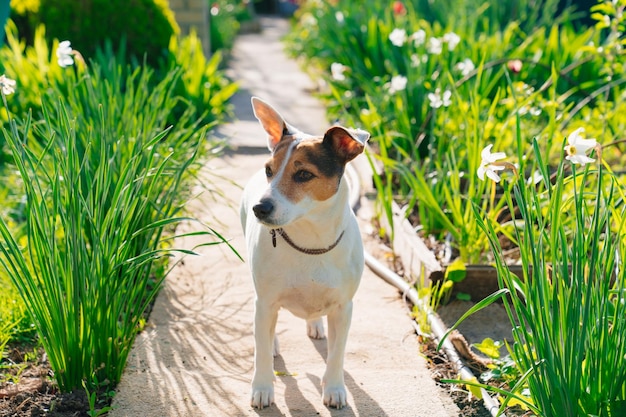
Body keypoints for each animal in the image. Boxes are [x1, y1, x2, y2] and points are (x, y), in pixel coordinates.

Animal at [238, 98, 366, 410]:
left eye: (304, 174)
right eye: (268, 170)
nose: (260, 208)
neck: (311, 242)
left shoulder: (344, 307)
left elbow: (337, 353)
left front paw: (334, 388)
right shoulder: (266, 301)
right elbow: (260, 350)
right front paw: (262, 388)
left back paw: (316, 324)